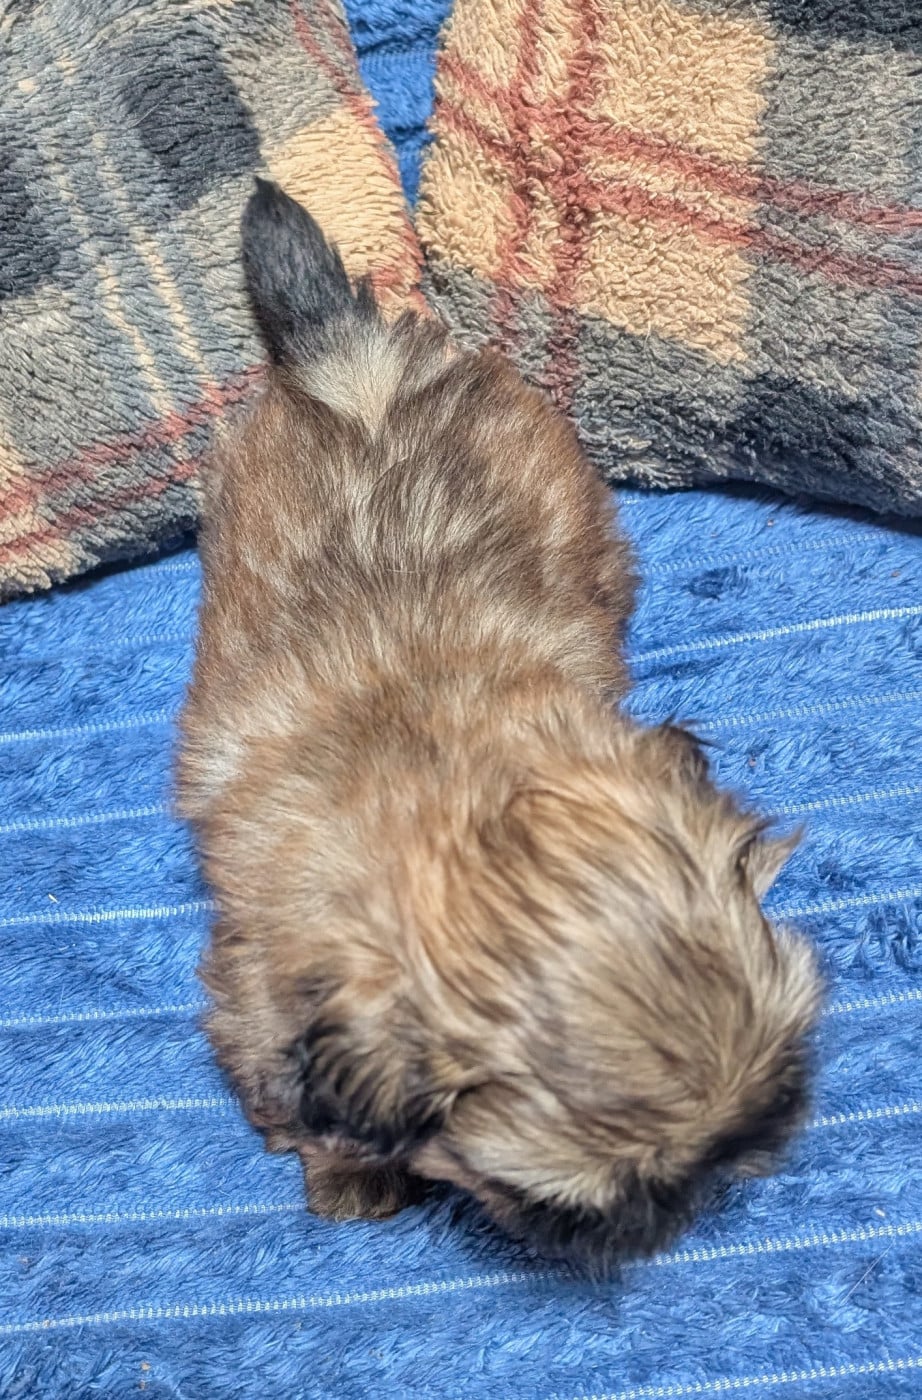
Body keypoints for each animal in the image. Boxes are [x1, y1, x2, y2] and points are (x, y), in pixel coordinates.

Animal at [177, 179, 822, 1276]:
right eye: (560, 1203)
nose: (691, 1198)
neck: (448, 786)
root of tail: (354, 358)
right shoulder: (259, 997)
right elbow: (299, 1101)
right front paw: (348, 1169)